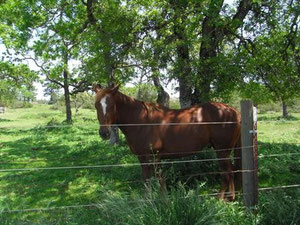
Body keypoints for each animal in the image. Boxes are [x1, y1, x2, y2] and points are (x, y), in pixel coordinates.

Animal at [94, 84, 241, 200]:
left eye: (111, 105)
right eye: (96, 105)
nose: (104, 133)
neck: (141, 121)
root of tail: (233, 111)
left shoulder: (155, 157)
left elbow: (159, 179)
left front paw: (164, 201)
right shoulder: (142, 158)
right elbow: (146, 179)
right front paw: (146, 201)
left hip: (222, 151)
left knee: (226, 173)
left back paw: (220, 199)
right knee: (231, 171)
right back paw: (230, 197)